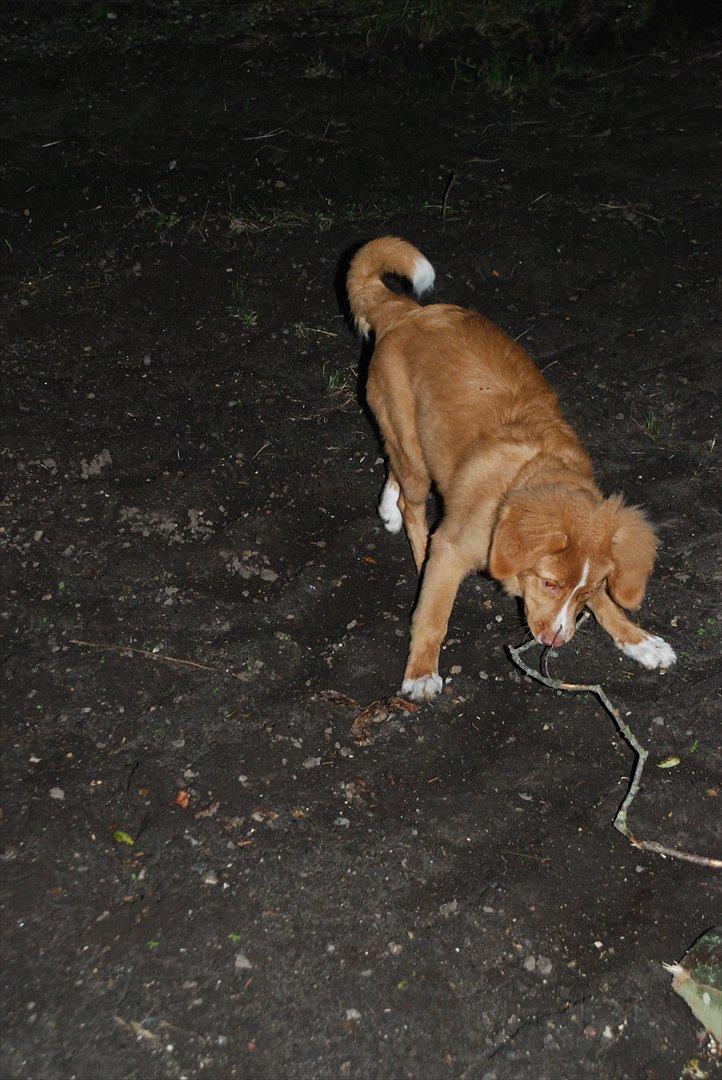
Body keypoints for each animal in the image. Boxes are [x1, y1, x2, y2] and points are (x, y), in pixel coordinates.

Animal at [345, 235, 673, 699]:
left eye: (586, 589)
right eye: (549, 583)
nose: (555, 641)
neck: (534, 473)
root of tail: (405, 310)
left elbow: (606, 605)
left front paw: (637, 639)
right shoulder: (451, 547)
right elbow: (432, 618)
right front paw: (421, 671)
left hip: (416, 445)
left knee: (394, 471)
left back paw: (388, 506)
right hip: (410, 447)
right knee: (413, 506)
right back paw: (413, 542)